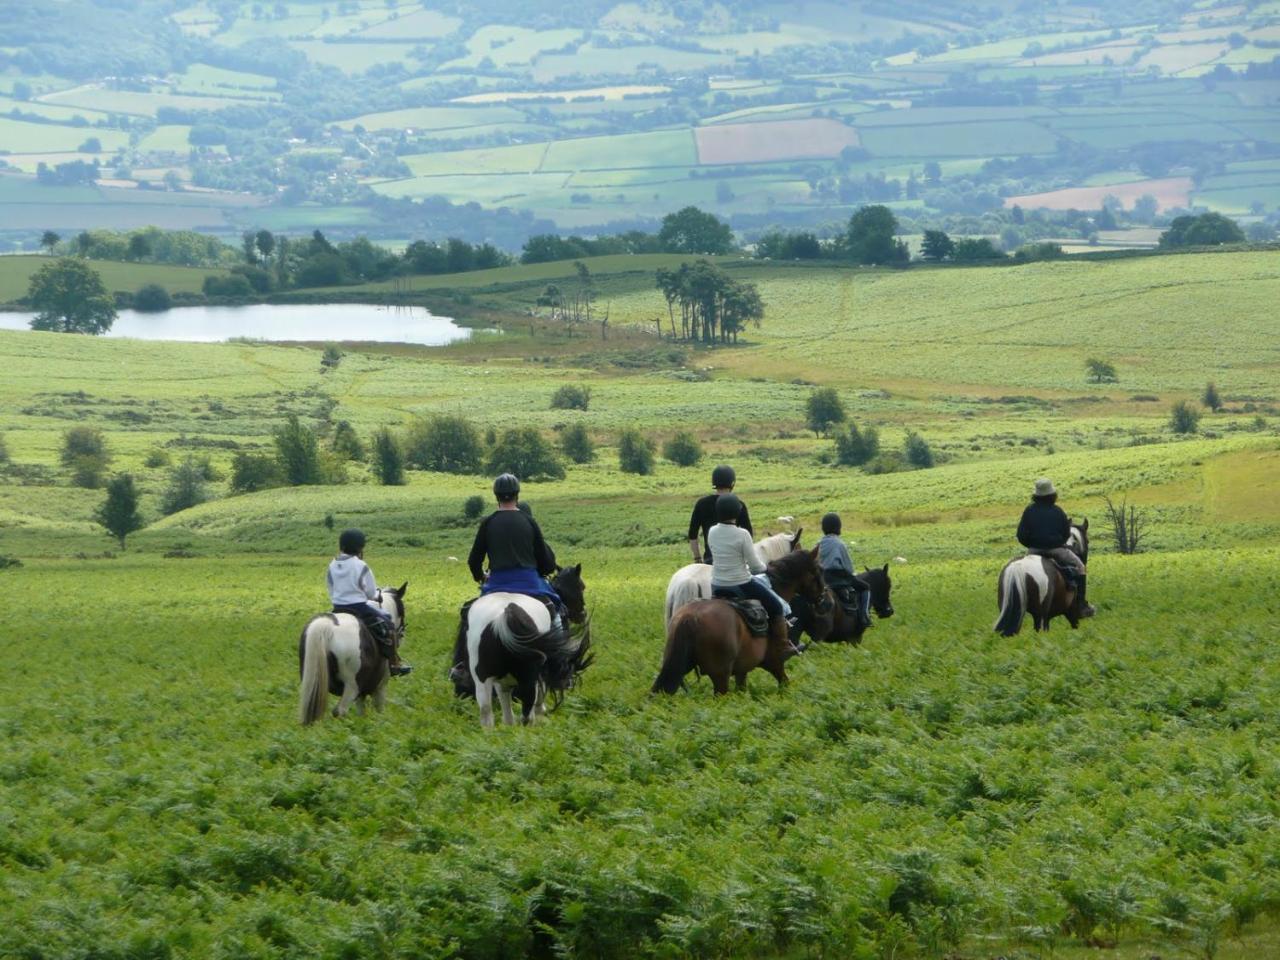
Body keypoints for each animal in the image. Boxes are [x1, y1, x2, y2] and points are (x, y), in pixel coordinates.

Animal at [295, 583, 404, 727]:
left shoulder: (362, 692)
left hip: (311, 682)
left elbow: (361, 711)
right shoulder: (380, 686)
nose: (402, 634)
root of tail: (328, 626)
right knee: (340, 711)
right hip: (352, 686)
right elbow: (378, 708)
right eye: (403, 610)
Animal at [650, 545, 829, 696]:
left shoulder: (742, 669)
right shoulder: (775, 663)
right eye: (818, 570)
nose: (822, 598)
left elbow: (742, 689)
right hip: (720, 676)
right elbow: (784, 682)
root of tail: (690, 617)